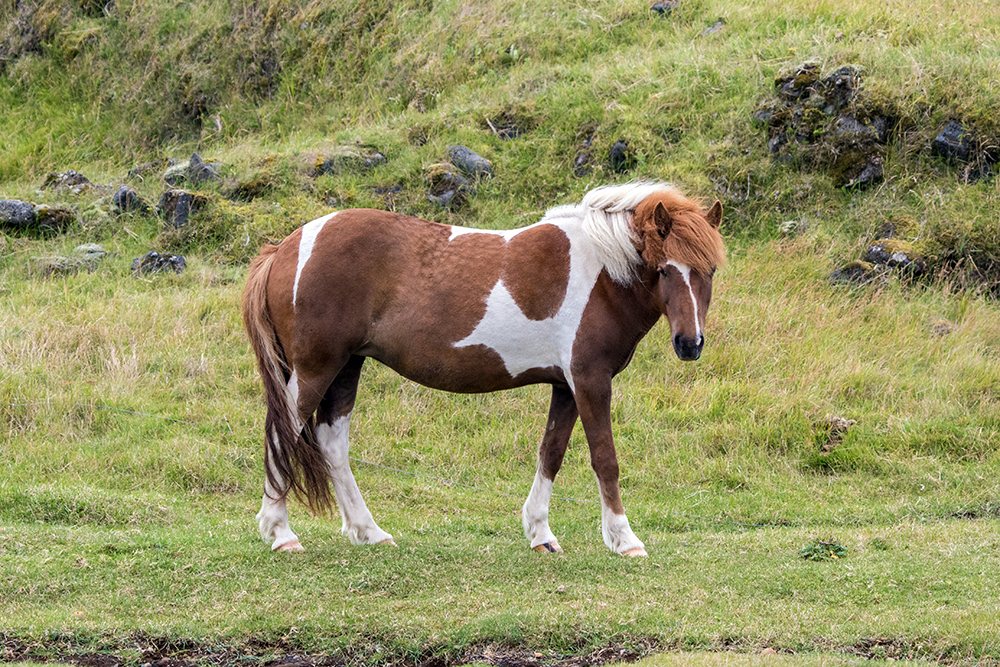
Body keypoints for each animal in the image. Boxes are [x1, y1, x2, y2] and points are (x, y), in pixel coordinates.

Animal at [242, 181, 728, 560]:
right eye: (664, 270)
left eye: (710, 270)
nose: (690, 344)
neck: (602, 271)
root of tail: (284, 248)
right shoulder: (590, 380)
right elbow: (604, 458)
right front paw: (625, 540)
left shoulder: (566, 385)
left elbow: (551, 452)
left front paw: (540, 533)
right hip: (315, 368)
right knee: (283, 434)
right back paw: (281, 532)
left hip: (346, 367)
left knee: (332, 444)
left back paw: (369, 532)